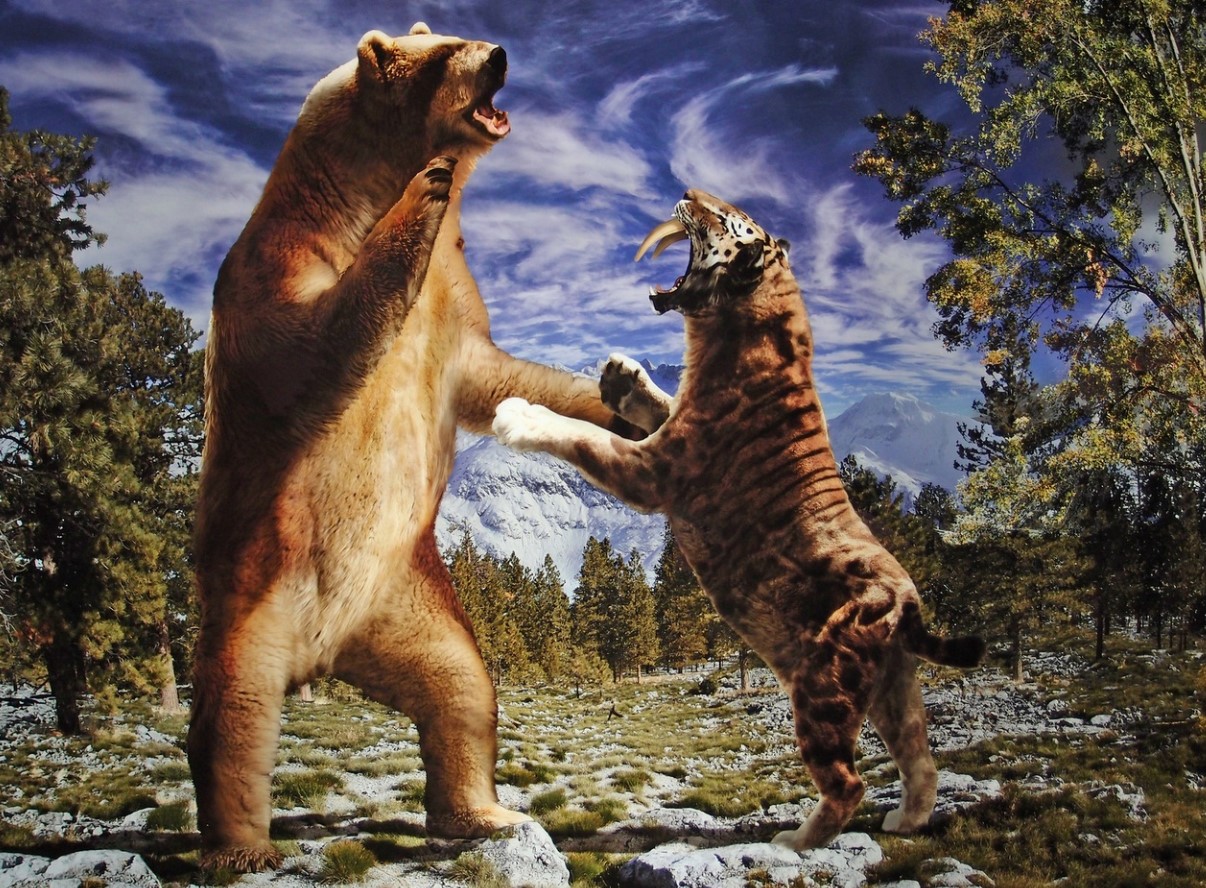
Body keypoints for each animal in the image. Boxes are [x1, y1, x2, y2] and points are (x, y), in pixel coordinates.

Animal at [492, 189, 986, 849]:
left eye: (721, 217)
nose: (687, 193)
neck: (739, 317)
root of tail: (908, 598)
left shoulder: (658, 470)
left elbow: (580, 434)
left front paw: (519, 415)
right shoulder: (672, 429)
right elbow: (657, 401)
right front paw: (623, 377)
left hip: (820, 691)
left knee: (848, 783)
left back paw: (795, 841)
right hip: (894, 690)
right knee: (922, 760)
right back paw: (904, 821)